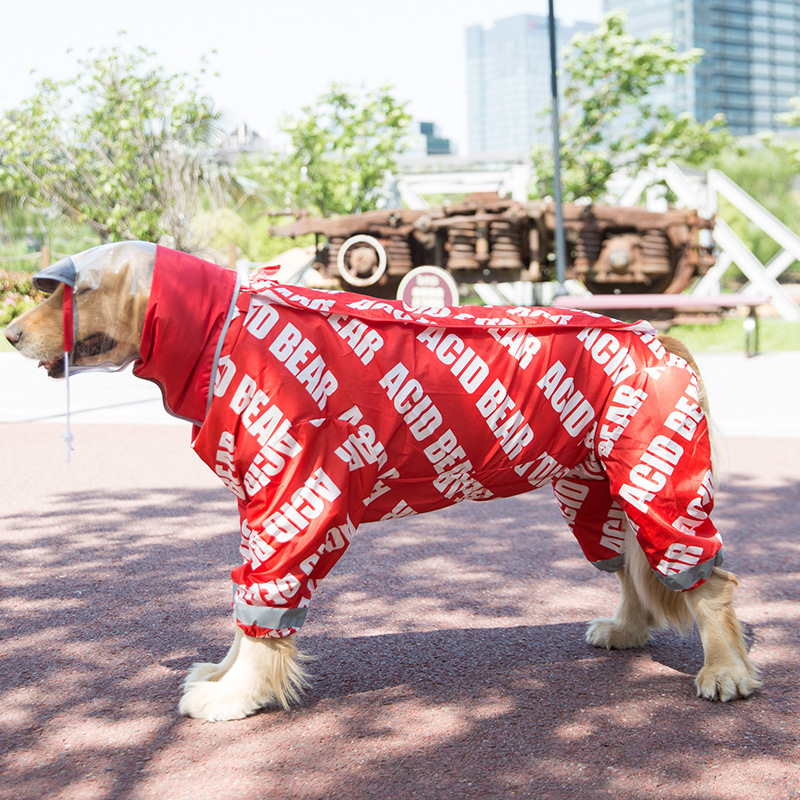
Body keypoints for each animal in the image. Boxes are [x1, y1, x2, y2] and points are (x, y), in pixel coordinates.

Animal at [5, 241, 761, 721]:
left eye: (70, 293)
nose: (8, 334)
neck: (220, 332)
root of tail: (654, 334)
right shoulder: (261, 507)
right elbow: (245, 605)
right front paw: (223, 675)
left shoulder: (297, 500)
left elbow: (264, 613)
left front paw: (236, 695)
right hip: (594, 490)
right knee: (628, 567)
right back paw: (628, 630)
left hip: (658, 482)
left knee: (710, 581)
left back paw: (725, 670)